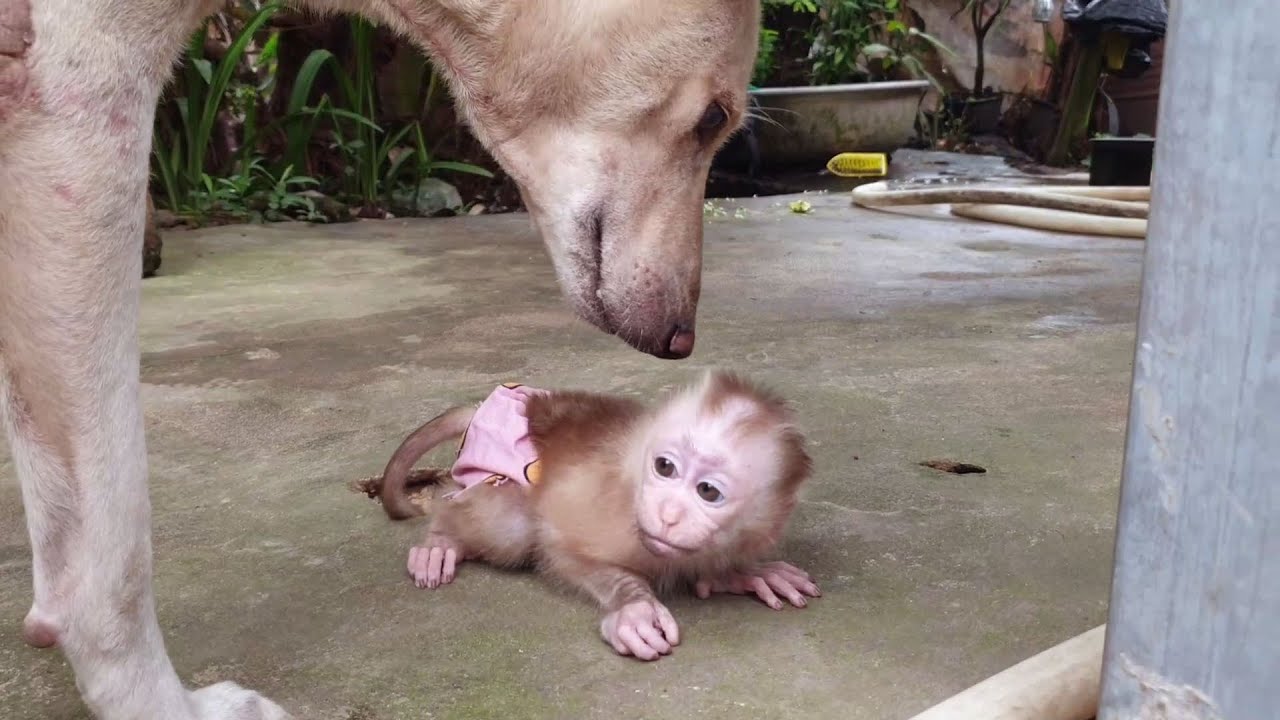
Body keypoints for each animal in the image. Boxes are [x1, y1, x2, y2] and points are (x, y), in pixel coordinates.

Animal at [368, 371, 819, 661]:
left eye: (708, 491)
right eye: (665, 467)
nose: (668, 514)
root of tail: (482, 409)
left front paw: (742, 574)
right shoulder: (610, 514)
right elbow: (557, 546)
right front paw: (633, 607)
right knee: (511, 527)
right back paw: (442, 538)